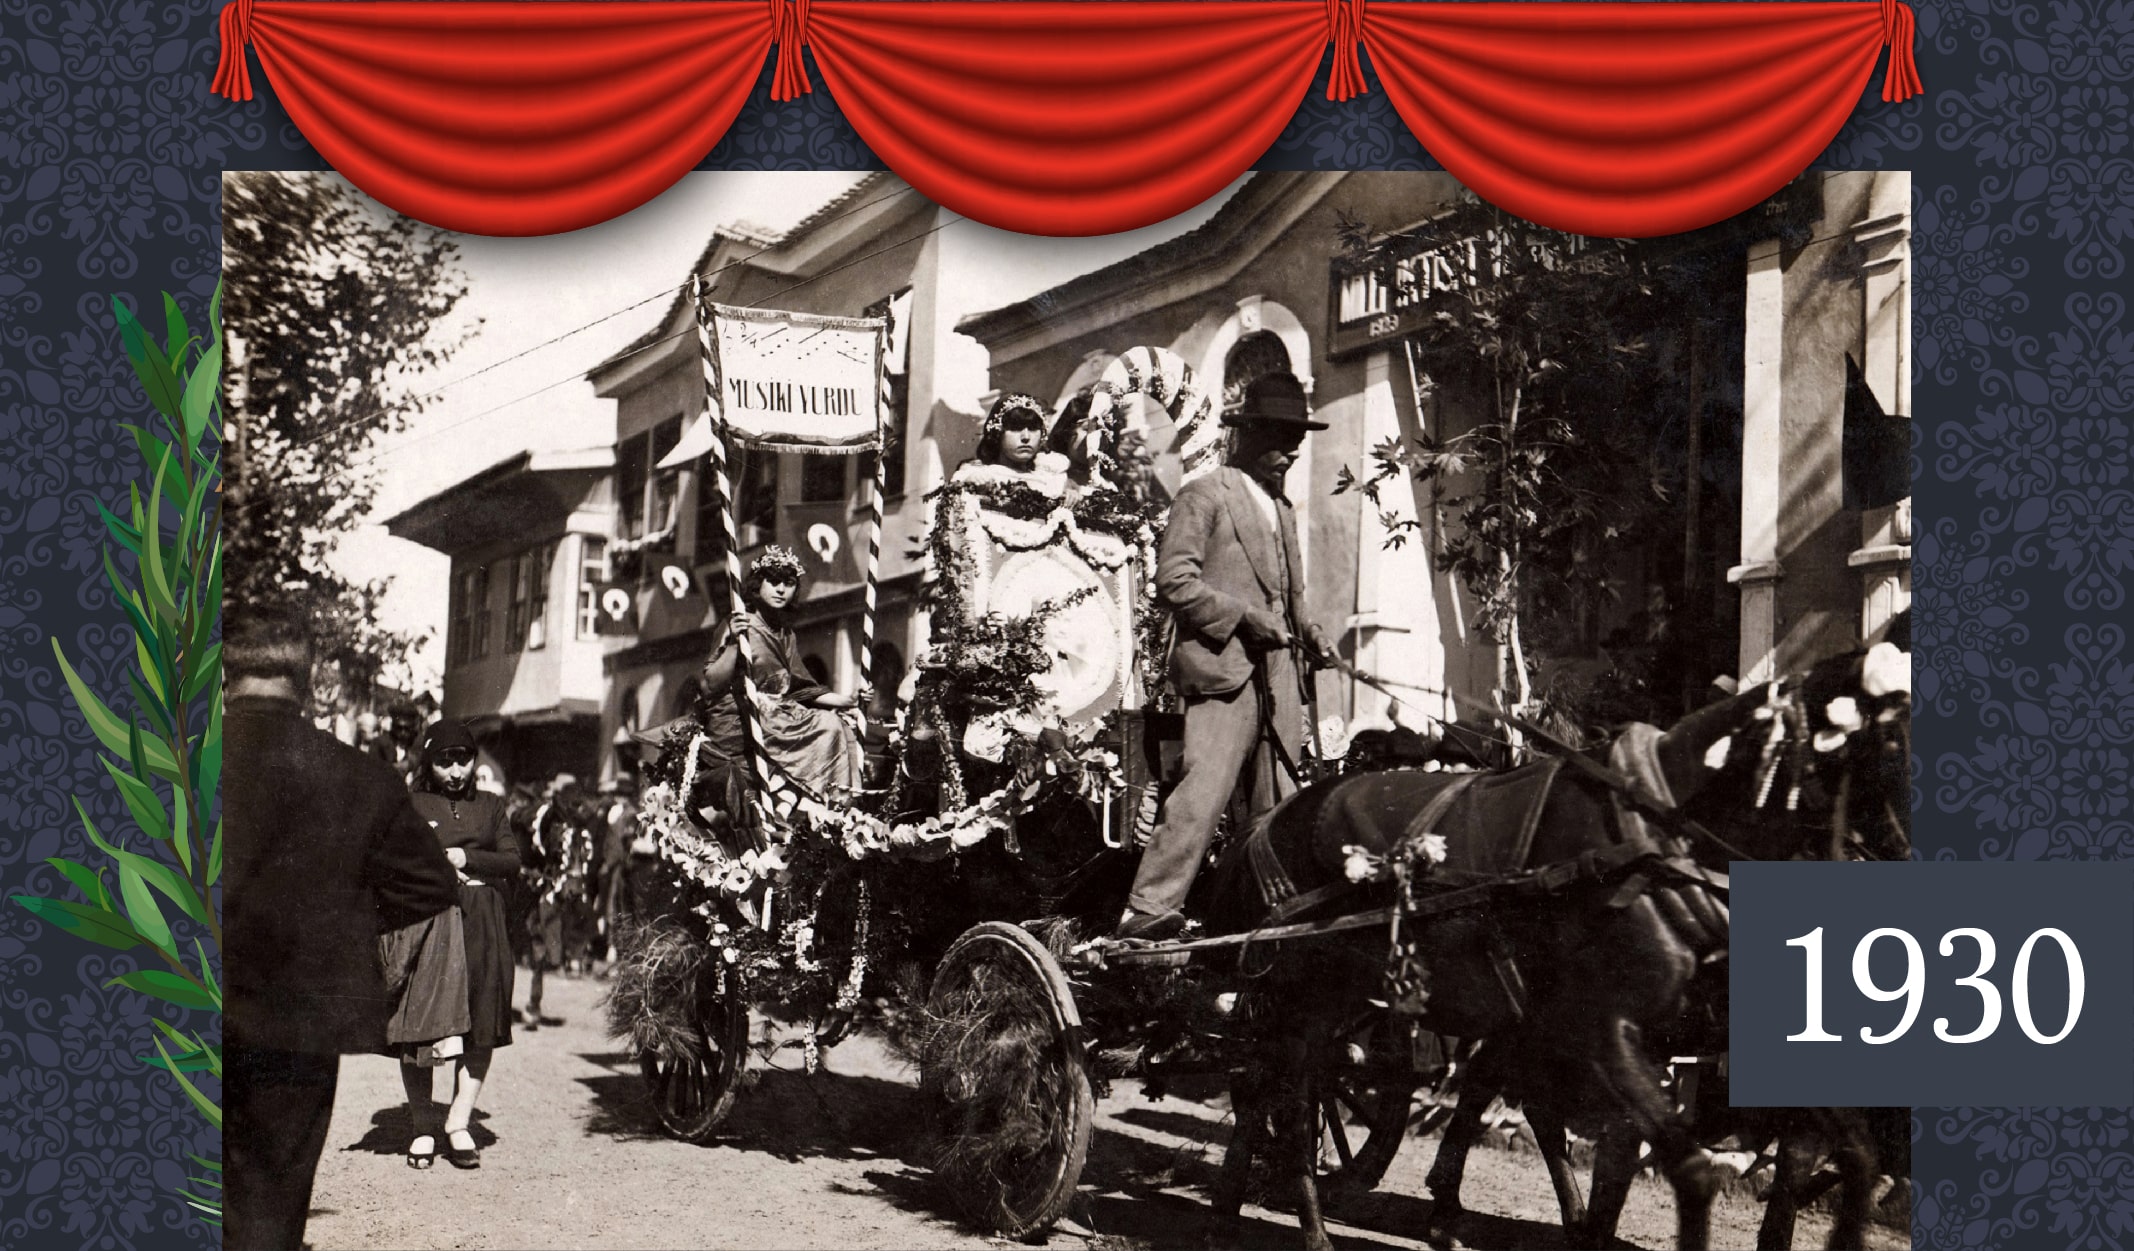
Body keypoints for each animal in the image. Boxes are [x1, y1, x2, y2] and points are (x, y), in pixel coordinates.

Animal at [1195, 641, 1911, 1251]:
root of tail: (1268, 820)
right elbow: (1677, 1165)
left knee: (1273, 1087)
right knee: (1284, 1098)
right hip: (1300, 1000)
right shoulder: (1607, 1031)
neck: (1660, 831)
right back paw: (1309, 1223)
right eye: (1894, 741)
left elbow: (1843, 1154)